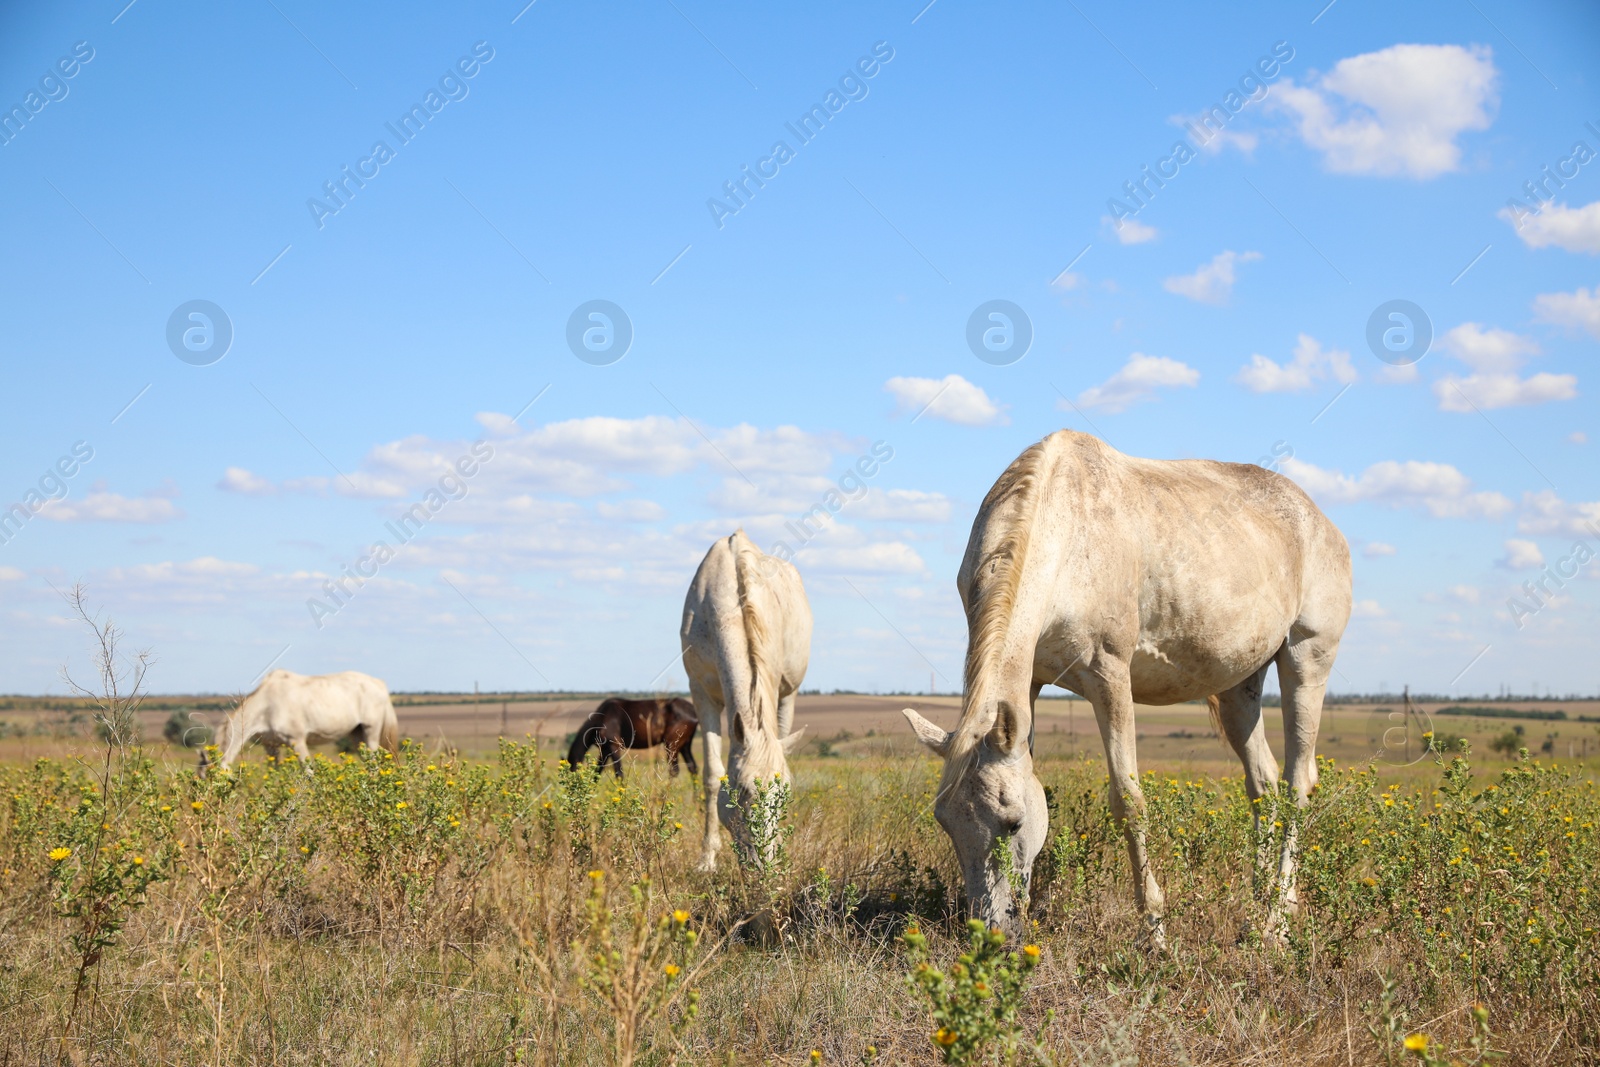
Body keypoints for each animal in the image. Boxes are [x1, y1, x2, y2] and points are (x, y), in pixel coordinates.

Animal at [202, 669, 400, 774]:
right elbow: (274, 773)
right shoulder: (271, 746)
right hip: (356, 735)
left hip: (370, 732)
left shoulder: (296, 741)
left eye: (207, 774)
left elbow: (309, 772)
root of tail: (380, 684)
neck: (267, 704)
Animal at [565, 697, 700, 779]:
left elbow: (619, 774)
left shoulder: (614, 746)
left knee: (674, 771)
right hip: (685, 745)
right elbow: (597, 773)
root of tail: (693, 711)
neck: (602, 718)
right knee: (692, 768)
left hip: (672, 744)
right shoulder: (605, 750)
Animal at [681, 529, 811, 870]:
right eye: (742, 791)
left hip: (788, 695)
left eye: (784, 794)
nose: (765, 865)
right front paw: (707, 859)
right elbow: (712, 776)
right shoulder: (701, 693)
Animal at [903, 429, 1351, 943]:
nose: (992, 935)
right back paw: (1258, 909)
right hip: (1240, 687)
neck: (1067, 531)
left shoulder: (1109, 676)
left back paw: (1277, 917)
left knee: (1298, 783)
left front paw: (1154, 930)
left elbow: (1129, 801)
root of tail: (1321, 521)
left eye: (1012, 823)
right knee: (1264, 784)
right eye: (946, 823)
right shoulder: (1030, 683)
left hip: (1306, 661)